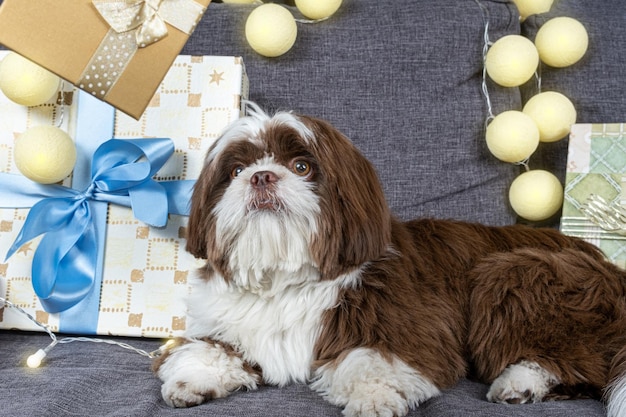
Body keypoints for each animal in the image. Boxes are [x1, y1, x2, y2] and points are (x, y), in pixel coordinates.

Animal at [154, 101, 624, 416]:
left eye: (302, 166)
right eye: (235, 171)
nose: (261, 176)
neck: (286, 279)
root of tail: (610, 267)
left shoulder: (412, 327)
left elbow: (374, 360)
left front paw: (373, 397)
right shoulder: (231, 325)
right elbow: (210, 348)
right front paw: (192, 378)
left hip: (516, 272)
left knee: (581, 363)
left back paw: (520, 380)